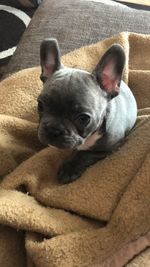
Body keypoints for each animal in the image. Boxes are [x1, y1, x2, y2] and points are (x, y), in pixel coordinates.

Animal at [37, 38, 137, 184]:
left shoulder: (111, 147)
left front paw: (69, 169)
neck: (89, 136)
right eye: (40, 106)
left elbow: (84, 154)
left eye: (83, 118)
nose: (53, 129)